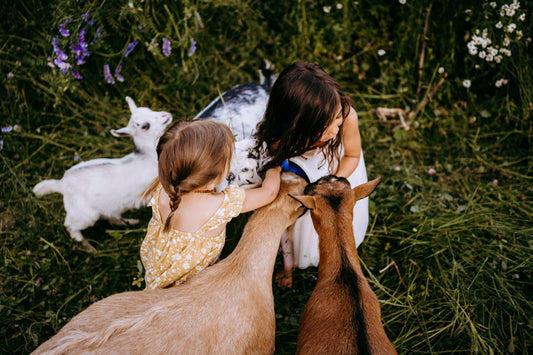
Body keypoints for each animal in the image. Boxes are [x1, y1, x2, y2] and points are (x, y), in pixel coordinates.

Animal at [33, 97, 170, 252]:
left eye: (148, 109)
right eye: (145, 126)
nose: (166, 115)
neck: (148, 155)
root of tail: (61, 184)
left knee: (112, 218)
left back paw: (130, 222)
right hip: (84, 214)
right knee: (71, 226)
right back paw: (89, 247)